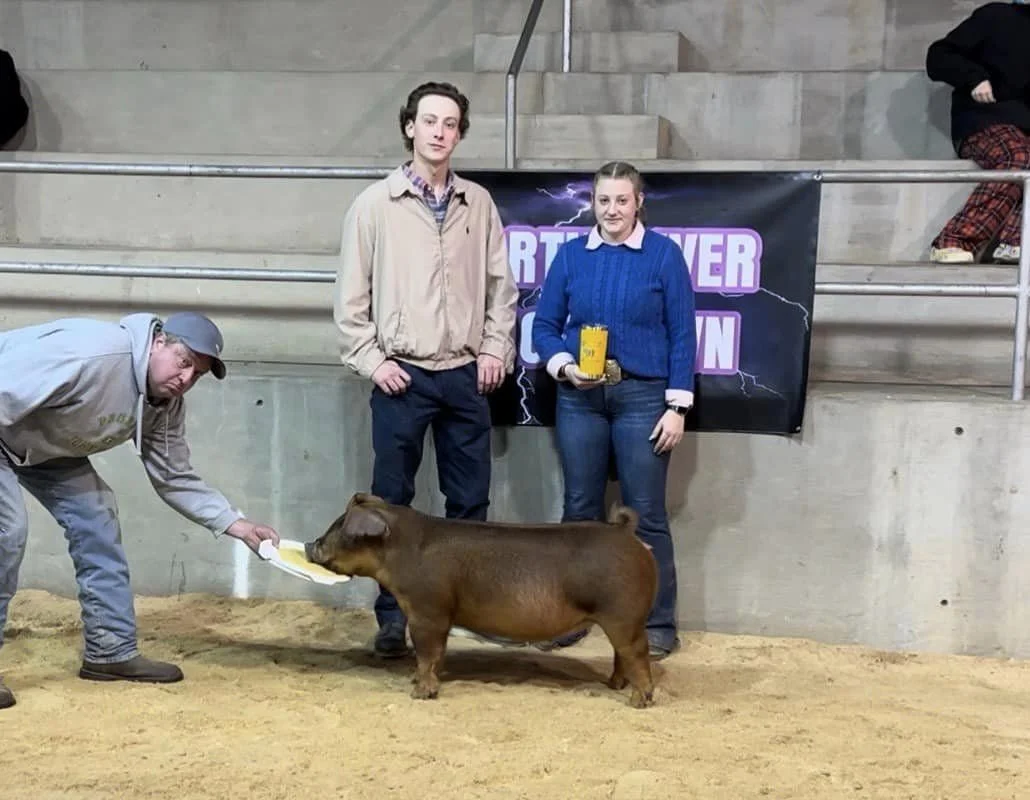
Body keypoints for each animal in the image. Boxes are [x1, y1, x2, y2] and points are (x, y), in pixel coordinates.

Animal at [305, 492, 659, 708]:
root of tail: (626, 534)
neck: (399, 553)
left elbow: (427, 653)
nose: (310, 543)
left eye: (340, 528)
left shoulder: (428, 611)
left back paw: (638, 700)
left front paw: (419, 693)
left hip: (623, 613)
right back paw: (613, 685)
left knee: (637, 653)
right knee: (621, 655)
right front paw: (418, 680)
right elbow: (435, 655)